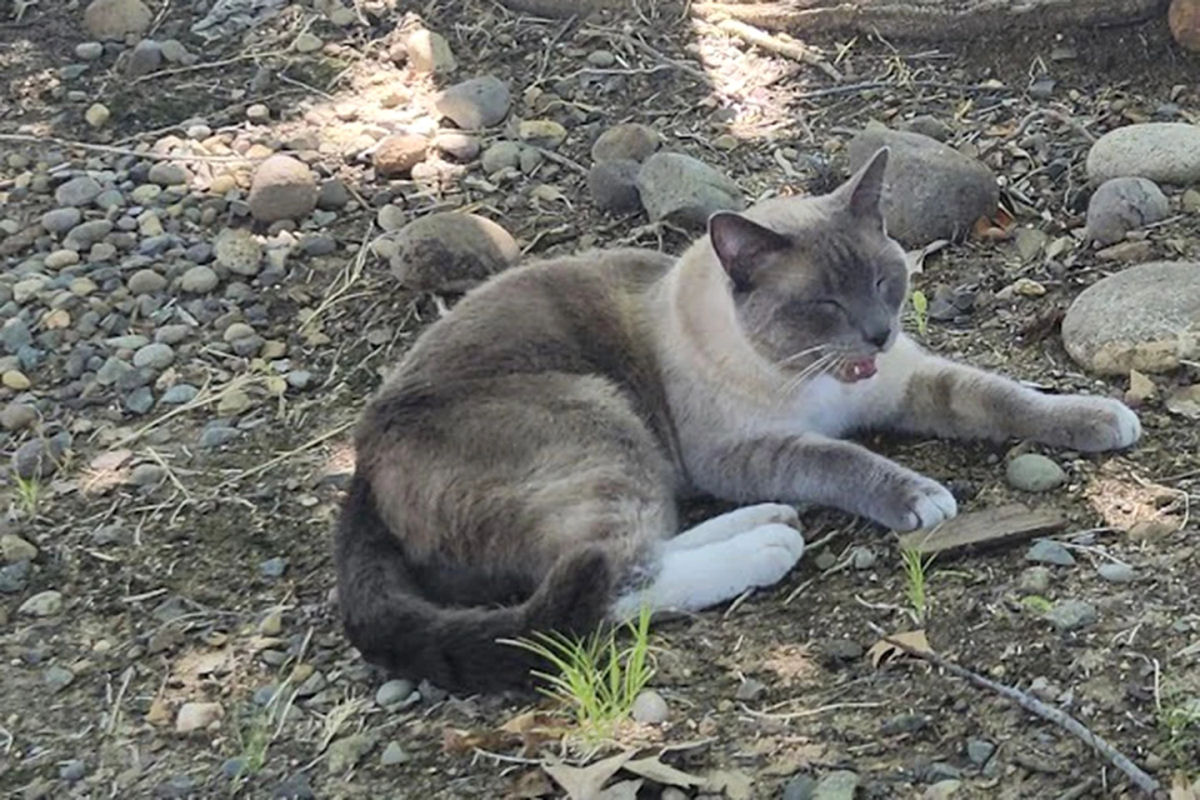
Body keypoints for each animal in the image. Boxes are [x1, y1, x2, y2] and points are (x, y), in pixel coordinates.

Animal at [333, 149, 1137, 695]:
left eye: (885, 281)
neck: (823, 381)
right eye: (826, 304)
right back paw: (770, 545)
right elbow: (844, 461)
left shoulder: (908, 383)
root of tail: (362, 462)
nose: (878, 334)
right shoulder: (747, 452)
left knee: (630, 550)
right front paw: (920, 497)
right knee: (607, 583)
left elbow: (1005, 398)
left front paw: (1104, 418)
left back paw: (768, 521)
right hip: (603, 424)